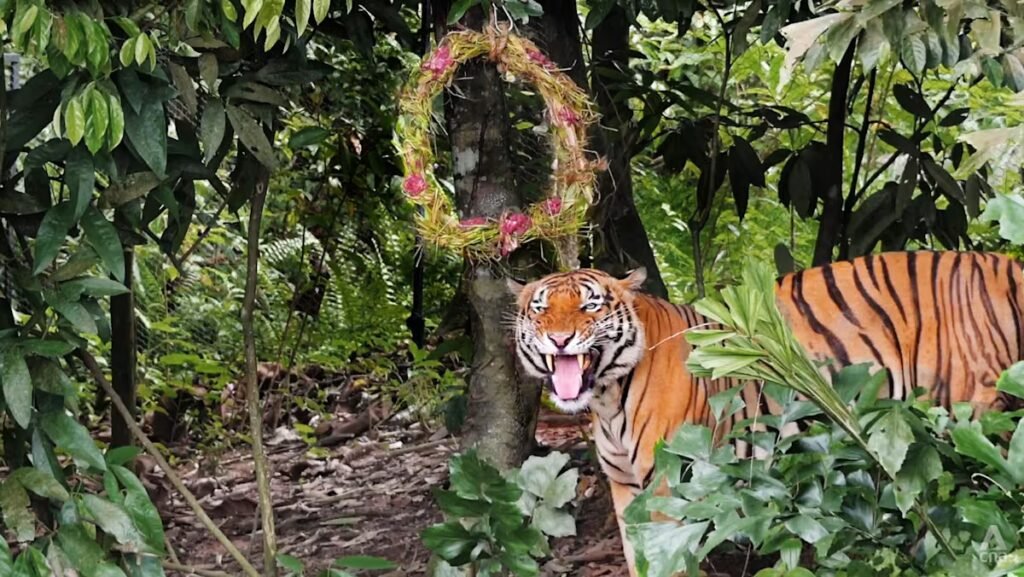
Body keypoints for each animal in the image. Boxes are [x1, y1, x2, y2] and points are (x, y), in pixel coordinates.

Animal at [508, 250, 1024, 576]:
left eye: (589, 306)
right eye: (540, 309)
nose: (559, 339)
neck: (606, 398)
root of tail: (1000, 262)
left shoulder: (667, 485)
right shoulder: (624, 488)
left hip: (973, 416)